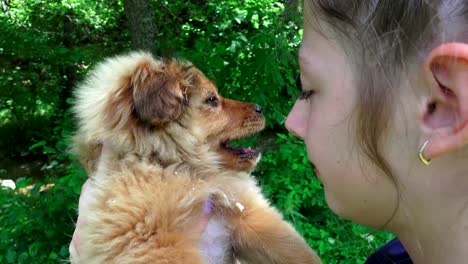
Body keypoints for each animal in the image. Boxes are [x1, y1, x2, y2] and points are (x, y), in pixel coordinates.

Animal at [71, 52, 320, 264]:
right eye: (211, 100)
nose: (260, 107)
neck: (186, 170)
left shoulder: (245, 214)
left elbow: (295, 252)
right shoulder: (151, 242)